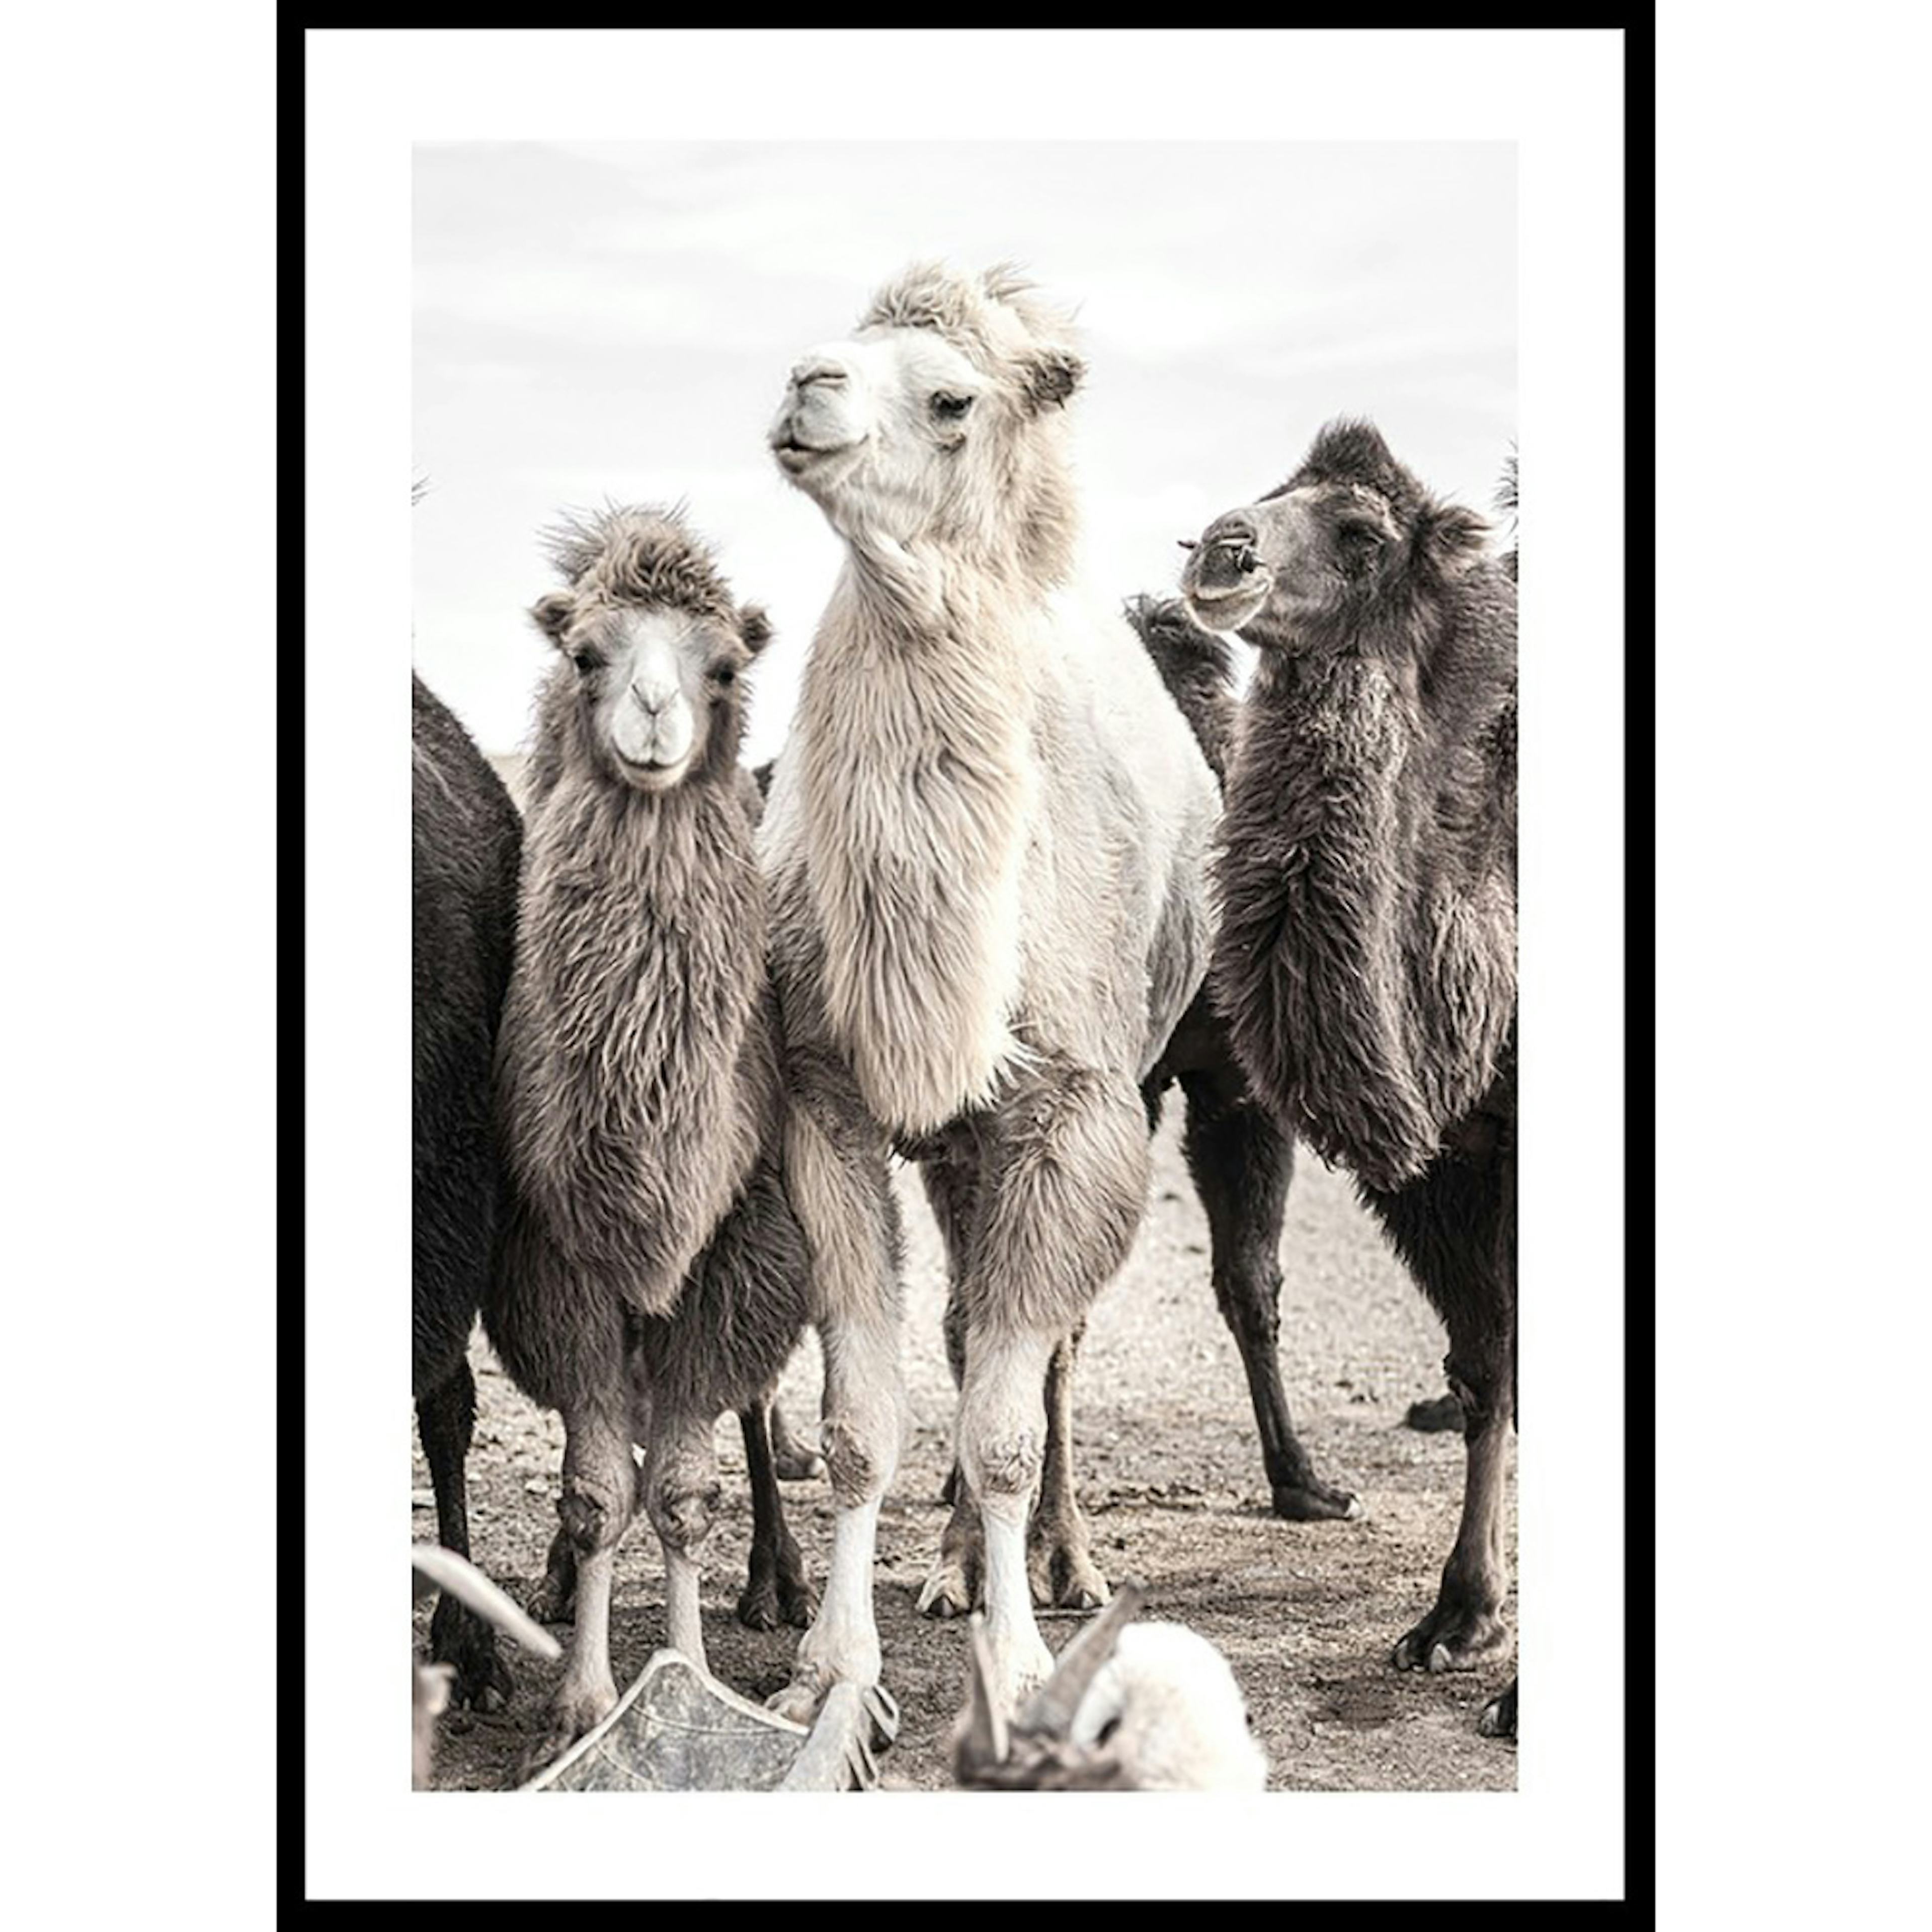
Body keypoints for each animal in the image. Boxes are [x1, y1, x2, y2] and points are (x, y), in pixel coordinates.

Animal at [484, 505, 816, 1771]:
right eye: (588, 654)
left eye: (723, 665)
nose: (656, 718)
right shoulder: (553, 1257)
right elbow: (594, 1492)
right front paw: (578, 1705)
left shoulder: (736, 1250)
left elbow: (678, 1493)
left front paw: (684, 1680)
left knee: (755, 1417)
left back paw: (780, 1580)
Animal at [759, 262, 1221, 1719]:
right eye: (844, 349)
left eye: (952, 399)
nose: (806, 385)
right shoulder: (827, 1098)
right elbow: (860, 1419)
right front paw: (832, 1671)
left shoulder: (1070, 1110)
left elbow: (1016, 1418)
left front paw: (1017, 1672)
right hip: (960, 1143)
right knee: (967, 1328)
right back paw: (955, 1564)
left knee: (1047, 1350)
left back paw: (1056, 1564)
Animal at [1180, 418, 1518, 1738]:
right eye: (1278, 492)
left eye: (1364, 534)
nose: (1221, 549)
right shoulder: (1443, 1162)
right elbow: (1483, 1365)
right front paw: (1454, 1619)